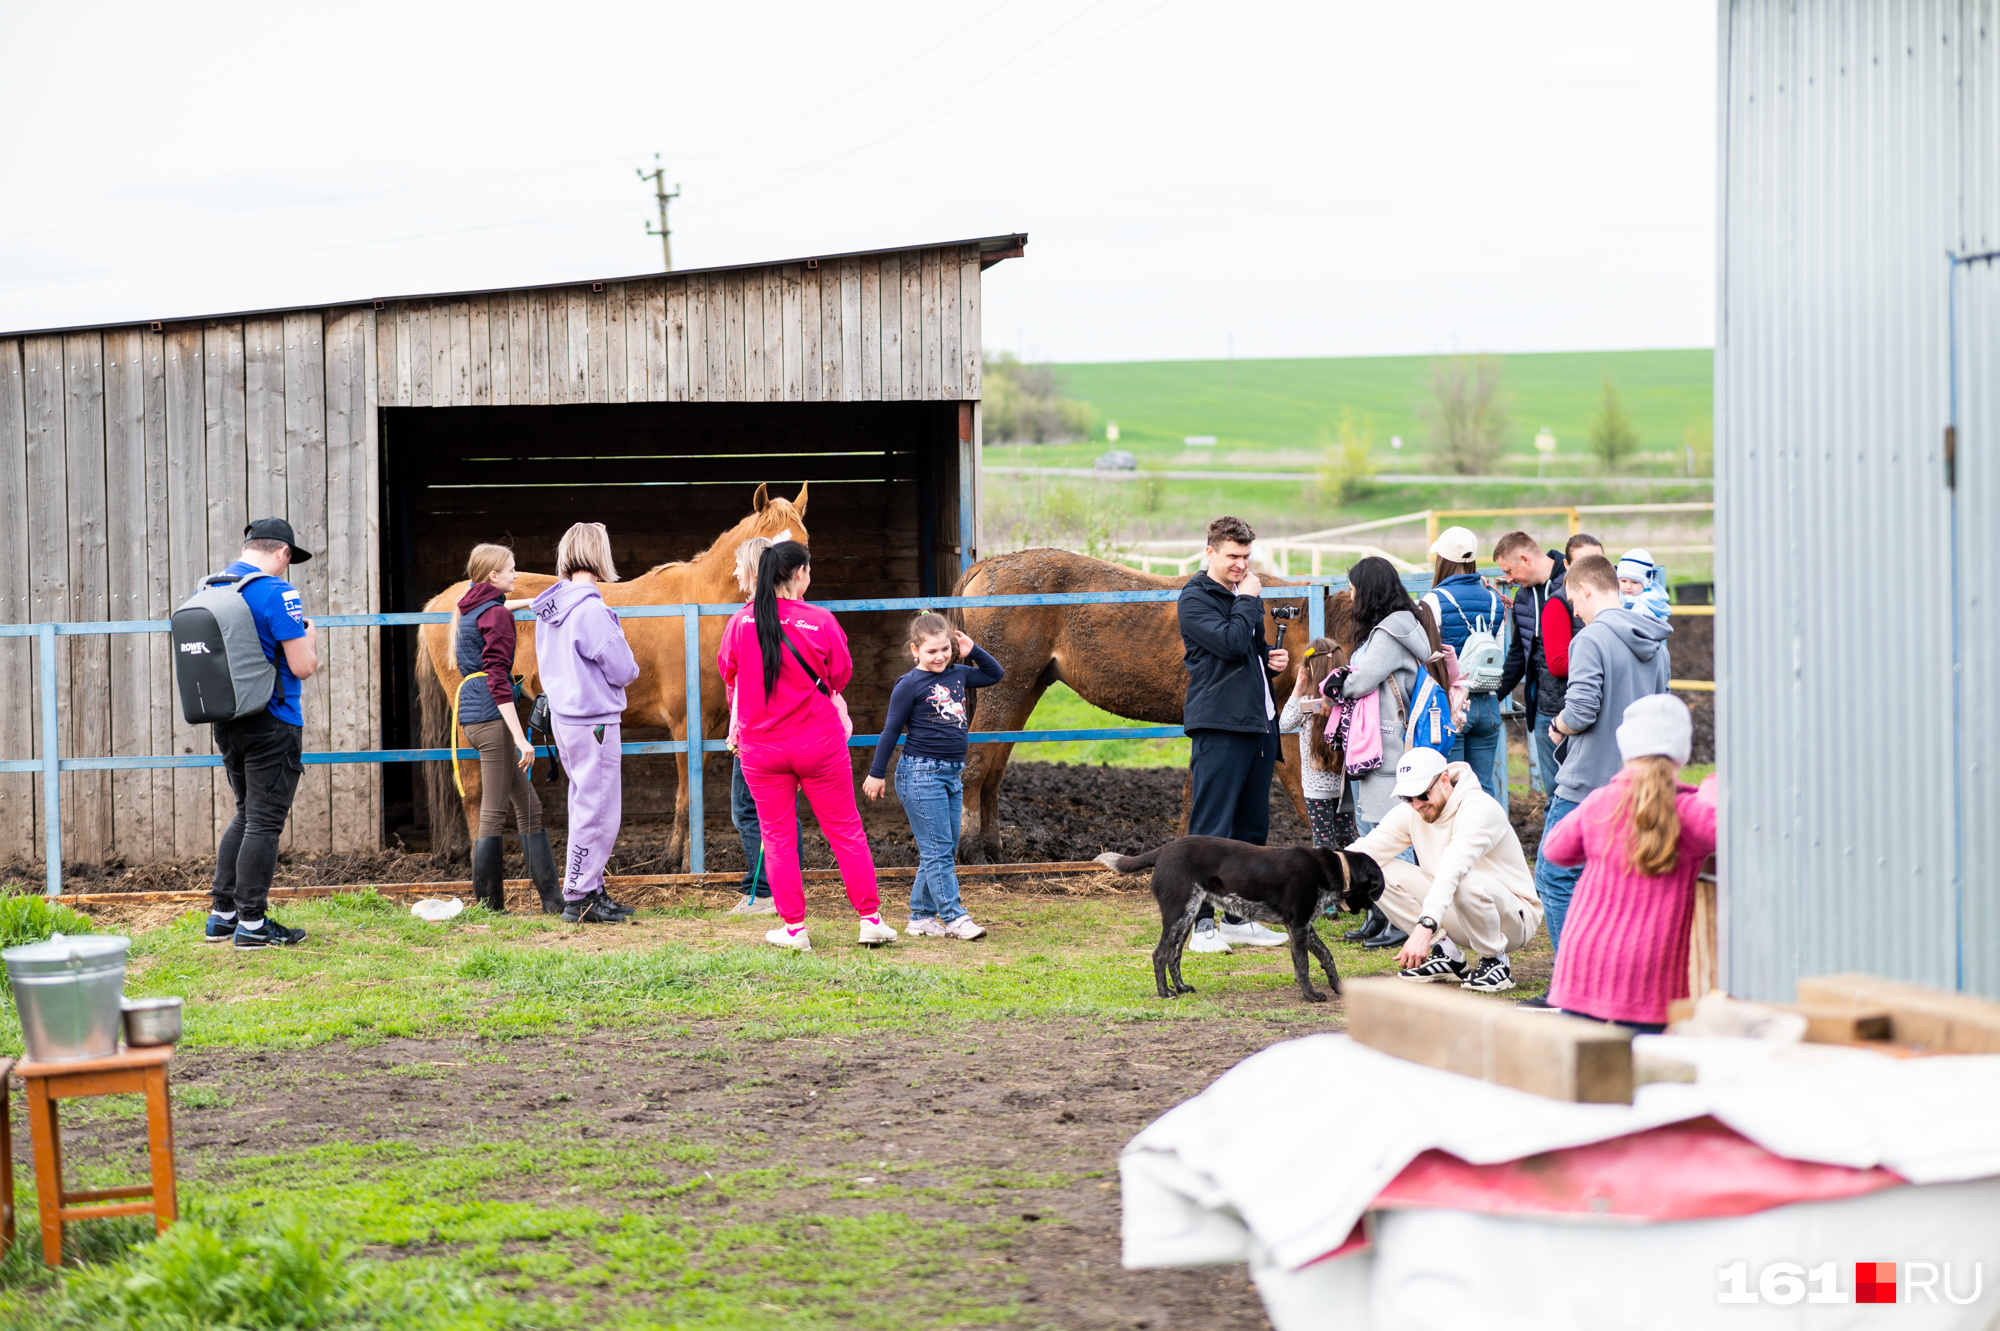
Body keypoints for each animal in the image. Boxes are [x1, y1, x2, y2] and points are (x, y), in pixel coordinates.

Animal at [416, 481, 812, 867]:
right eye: (764, 548)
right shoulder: (686, 725)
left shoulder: (711, 727)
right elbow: (688, 794)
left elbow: (690, 793)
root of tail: (444, 601)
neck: (698, 607)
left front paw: (677, 857)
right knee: (473, 787)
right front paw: (683, 863)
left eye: (803, 545)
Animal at [948, 547, 1360, 859]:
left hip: (1025, 689)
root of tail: (989, 565)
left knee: (993, 770)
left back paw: (992, 850)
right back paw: (971, 852)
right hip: (1006, 691)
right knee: (975, 767)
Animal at [1096, 839, 1392, 995]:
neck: (1336, 870)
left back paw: (1180, 988)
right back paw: (1165, 993)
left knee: (1174, 955)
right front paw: (1310, 995)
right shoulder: (1298, 926)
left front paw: (1338, 986)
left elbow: (1327, 956)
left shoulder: (1306, 927)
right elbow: (1304, 967)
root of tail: (1164, 849)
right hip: (1179, 913)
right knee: (1159, 954)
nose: (1371, 909)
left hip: (1186, 915)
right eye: (1374, 891)